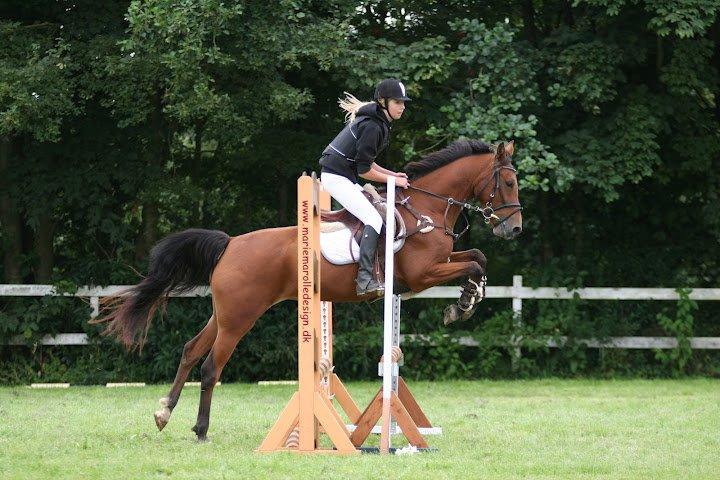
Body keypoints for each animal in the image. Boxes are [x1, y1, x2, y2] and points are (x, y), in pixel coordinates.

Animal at [94, 137, 524, 440]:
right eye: (507, 181)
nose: (514, 229)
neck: (425, 210)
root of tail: (230, 244)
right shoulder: (423, 274)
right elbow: (474, 262)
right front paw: (463, 304)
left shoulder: (439, 265)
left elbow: (478, 257)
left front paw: (466, 299)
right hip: (240, 318)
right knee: (211, 365)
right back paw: (200, 429)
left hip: (224, 313)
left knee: (189, 351)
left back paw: (163, 412)